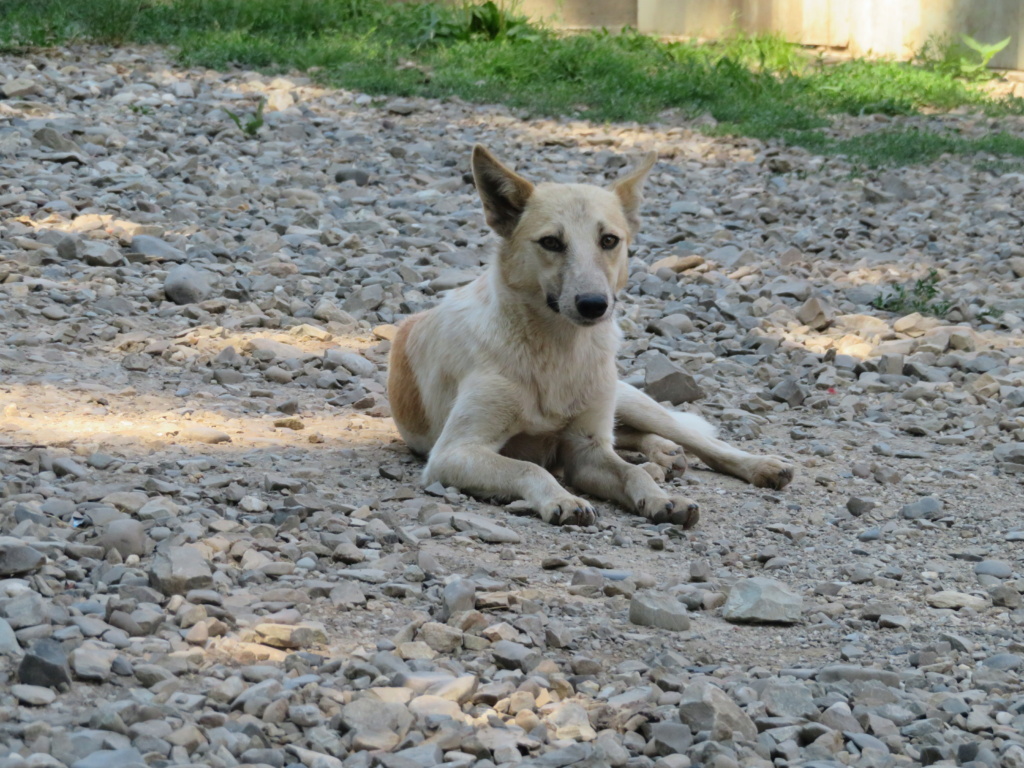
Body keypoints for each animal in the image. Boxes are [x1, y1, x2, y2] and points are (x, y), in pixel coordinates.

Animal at [387, 145, 794, 528]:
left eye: (609, 240)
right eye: (551, 242)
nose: (594, 305)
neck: (557, 351)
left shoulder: (587, 450)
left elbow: (630, 472)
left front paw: (662, 499)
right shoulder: (455, 453)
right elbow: (530, 468)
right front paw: (564, 499)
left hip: (633, 401)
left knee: (697, 441)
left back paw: (753, 464)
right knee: (629, 436)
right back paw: (663, 454)